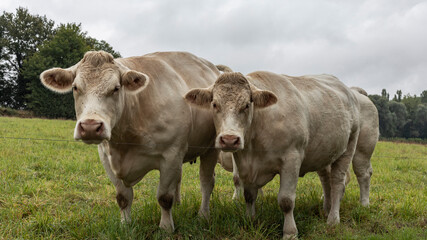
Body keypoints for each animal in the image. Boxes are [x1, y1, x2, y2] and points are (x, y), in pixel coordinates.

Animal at [40, 51, 222, 232]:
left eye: (116, 88)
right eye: (75, 87)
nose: (90, 126)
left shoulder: (171, 154)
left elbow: (164, 197)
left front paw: (166, 228)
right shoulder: (106, 157)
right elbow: (123, 197)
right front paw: (125, 225)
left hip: (210, 150)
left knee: (206, 182)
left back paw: (203, 215)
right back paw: (178, 205)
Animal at [184, 71, 378, 240]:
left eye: (246, 105)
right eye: (215, 104)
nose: (230, 140)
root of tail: (350, 90)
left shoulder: (291, 159)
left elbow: (286, 200)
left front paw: (290, 233)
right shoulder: (245, 165)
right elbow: (249, 195)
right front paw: (250, 221)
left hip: (353, 148)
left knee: (345, 180)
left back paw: (340, 215)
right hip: (325, 154)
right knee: (327, 180)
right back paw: (326, 208)